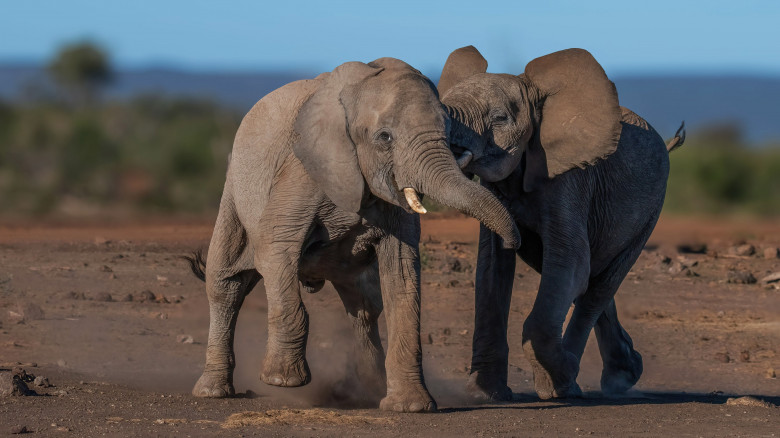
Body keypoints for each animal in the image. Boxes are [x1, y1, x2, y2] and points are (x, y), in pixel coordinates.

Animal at [186, 56, 520, 412]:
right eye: (385, 137)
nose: (511, 242)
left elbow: (402, 271)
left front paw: (410, 407)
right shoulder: (300, 171)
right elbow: (278, 248)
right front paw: (283, 381)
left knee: (364, 303)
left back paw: (369, 391)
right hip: (235, 189)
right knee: (225, 284)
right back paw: (213, 391)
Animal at [438, 45, 684, 400]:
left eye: (499, 118)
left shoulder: (571, 181)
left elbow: (572, 263)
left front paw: (555, 385)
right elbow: (492, 268)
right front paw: (486, 395)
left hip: (651, 208)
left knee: (599, 285)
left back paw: (570, 383)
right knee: (589, 281)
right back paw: (624, 373)